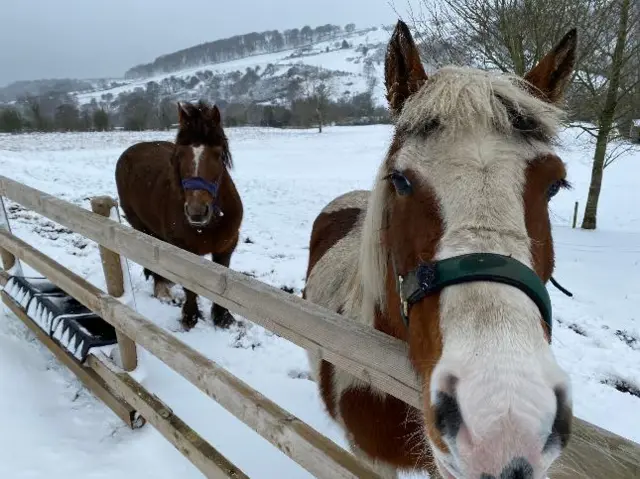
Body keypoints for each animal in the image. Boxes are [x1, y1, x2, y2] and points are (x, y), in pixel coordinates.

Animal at [115, 101, 242, 332]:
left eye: (218, 154)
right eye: (180, 154)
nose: (197, 211)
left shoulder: (226, 247)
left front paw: (222, 317)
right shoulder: (183, 252)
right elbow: (190, 288)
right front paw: (190, 317)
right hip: (142, 227)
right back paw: (162, 291)